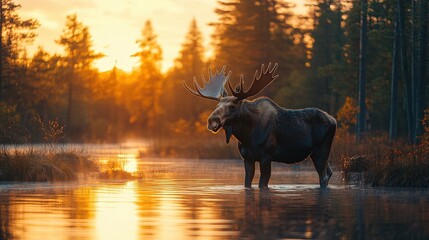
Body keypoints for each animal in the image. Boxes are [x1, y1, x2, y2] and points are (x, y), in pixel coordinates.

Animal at [182, 62, 336, 188]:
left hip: (321, 150)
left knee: (323, 175)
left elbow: (263, 184)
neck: (246, 135)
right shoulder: (247, 158)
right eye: (217, 105)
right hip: (316, 153)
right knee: (329, 172)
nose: (212, 120)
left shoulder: (266, 156)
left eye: (232, 106)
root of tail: (333, 120)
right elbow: (247, 183)